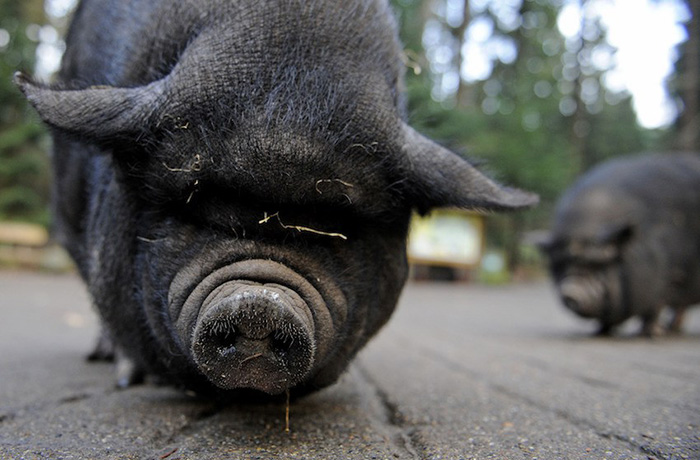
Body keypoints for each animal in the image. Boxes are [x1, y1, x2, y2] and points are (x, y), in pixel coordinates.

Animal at [540, 153, 700, 336]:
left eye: (598, 263)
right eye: (561, 263)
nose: (570, 293)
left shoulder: (667, 277)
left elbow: (655, 307)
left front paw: (653, 334)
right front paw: (600, 332)